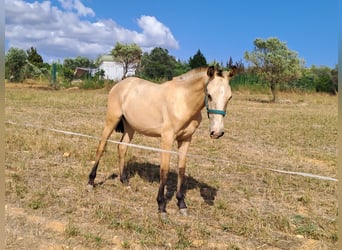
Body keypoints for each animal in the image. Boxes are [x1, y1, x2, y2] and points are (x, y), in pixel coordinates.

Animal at [87, 65, 235, 216]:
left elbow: (181, 170)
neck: (184, 101)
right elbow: (164, 170)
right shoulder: (167, 139)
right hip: (111, 120)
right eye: (209, 95)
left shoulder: (186, 140)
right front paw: (161, 206)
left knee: (122, 148)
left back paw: (125, 182)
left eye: (229, 97)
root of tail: (121, 84)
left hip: (130, 127)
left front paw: (181, 204)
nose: (217, 132)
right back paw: (91, 182)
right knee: (101, 146)